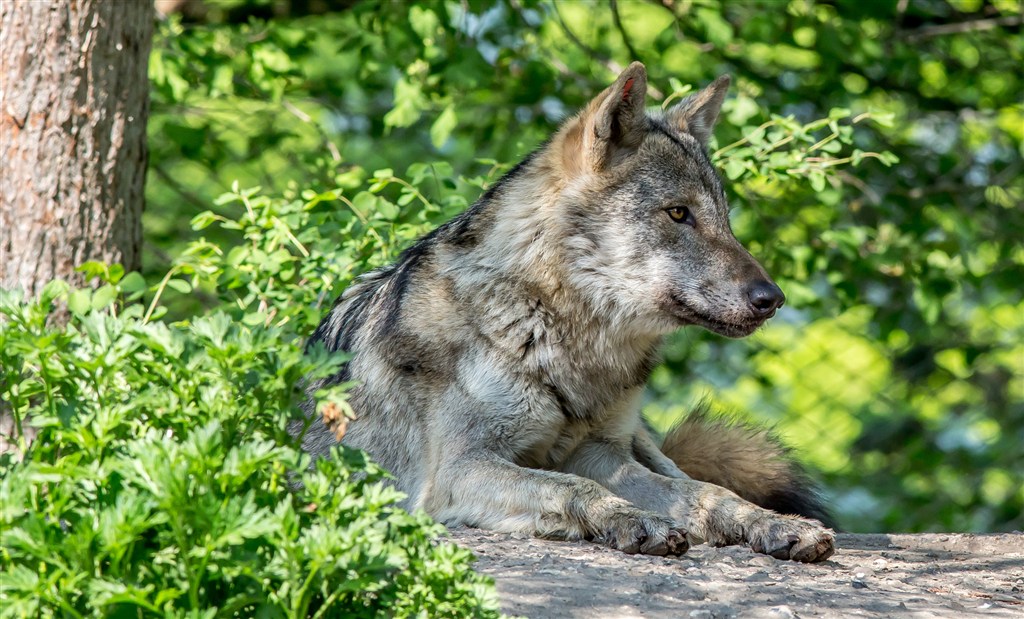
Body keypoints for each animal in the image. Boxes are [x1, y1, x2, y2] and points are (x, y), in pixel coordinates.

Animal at [299, 62, 835, 561]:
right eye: (678, 213)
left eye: (725, 219)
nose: (773, 299)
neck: (553, 333)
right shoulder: (456, 471)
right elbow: (572, 488)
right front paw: (634, 520)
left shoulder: (599, 452)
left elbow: (706, 493)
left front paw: (770, 523)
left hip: (639, 440)